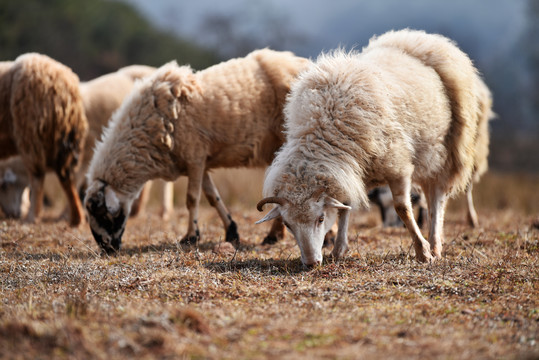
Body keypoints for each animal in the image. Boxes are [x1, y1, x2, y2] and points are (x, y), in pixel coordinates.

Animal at [86, 49, 310, 255]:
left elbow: (192, 198)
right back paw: (275, 235)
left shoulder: (194, 156)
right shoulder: (199, 161)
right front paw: (231, 231)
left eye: (101, 213)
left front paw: (190, 237)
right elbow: (212, 197)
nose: (107, 249)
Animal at [258, 29, 480, 266]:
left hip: (447, 150)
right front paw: (339, 249)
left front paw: (423, 251)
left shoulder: (398, 166)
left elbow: (402, 208)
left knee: (437, 199)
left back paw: (435, 244)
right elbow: (345, 206)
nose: (311, 263)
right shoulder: (349, 173)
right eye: (288, 224)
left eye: (320, 218)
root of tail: (417, 38)